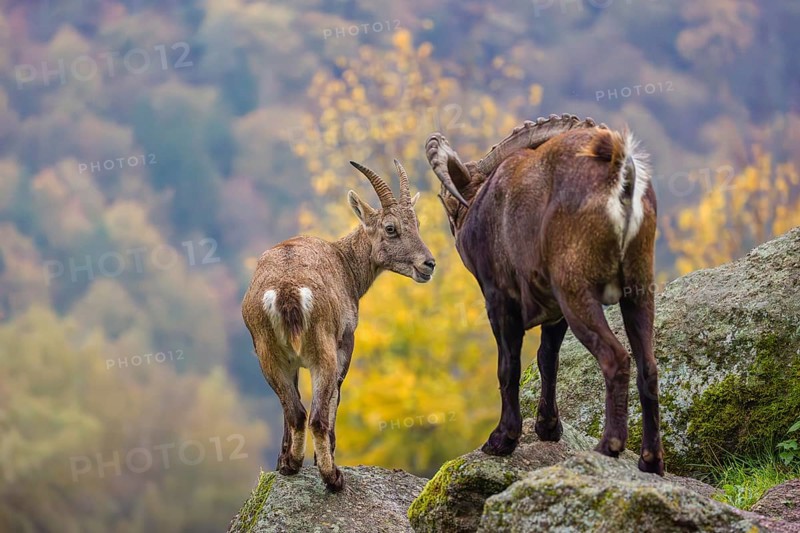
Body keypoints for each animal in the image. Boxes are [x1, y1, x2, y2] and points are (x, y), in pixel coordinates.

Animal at [242, 160, 435, 491]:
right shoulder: (346, 342)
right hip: (323, 351)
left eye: (418, 224)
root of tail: (287, 291)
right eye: (391, 228)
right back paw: (333, 477)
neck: (345, 262)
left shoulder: (289, 362)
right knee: (316, 416)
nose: (429, 264)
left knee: (295, 411)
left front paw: (283, 461)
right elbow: (336, 397)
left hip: (267, 353)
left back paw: (292, 465)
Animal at [425, 114, 663, 475]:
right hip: (638, 286)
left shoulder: (499, 298)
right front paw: (548, 428)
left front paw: (502, 440)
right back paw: (650, 461)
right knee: (648, 366)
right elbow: (547, 359)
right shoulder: (554, 311)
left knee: (615, 358)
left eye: (447, 198)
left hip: (575, 288)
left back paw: (607, 446)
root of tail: (621, 177)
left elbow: (508, 366)